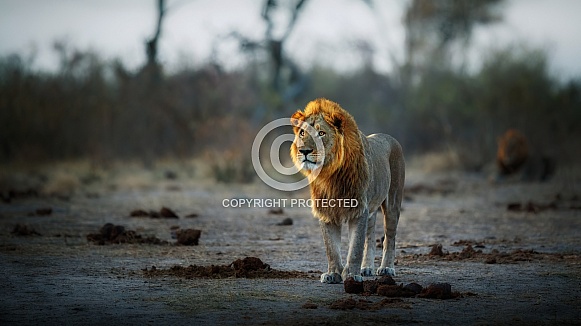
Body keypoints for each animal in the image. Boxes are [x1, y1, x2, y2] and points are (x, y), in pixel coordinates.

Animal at [290, 98, 404, 282]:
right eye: (302, 133)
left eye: (321, 133)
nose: (304, 151)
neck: (329, 175)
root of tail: (389, 137)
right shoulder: (326, 211)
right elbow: (331, 248)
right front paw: (333, 273)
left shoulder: (359, 210)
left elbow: (355, 247)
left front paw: (351, 275)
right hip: (371, 210)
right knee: (370, 237)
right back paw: (367, 268)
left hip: (393, 202)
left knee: (390, 237)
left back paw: (386, 268)